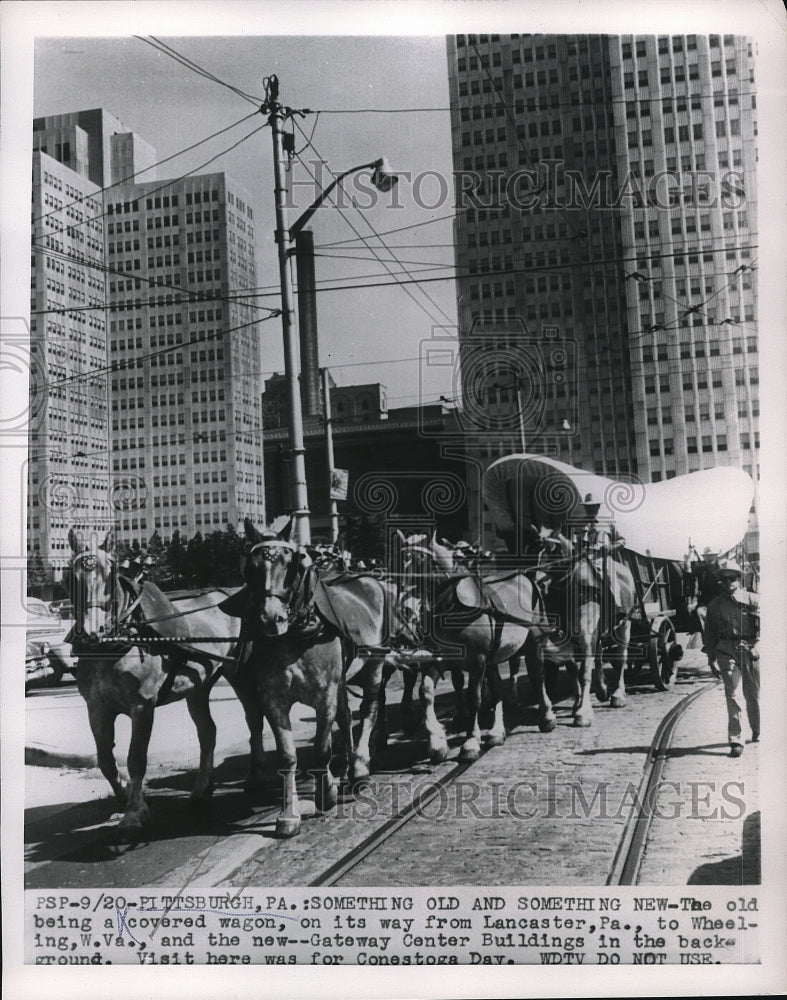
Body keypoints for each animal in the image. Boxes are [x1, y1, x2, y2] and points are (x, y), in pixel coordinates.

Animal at [67, 528, 254, 840]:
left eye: (110, 574)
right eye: (71, 574)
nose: (93, 631)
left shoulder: (142, 706)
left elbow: (135, 759)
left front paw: (134, 813)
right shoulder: (96, 708)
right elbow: (105, 760)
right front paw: (124, 793)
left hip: (240, 673)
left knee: (258, 717)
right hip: (199, 686)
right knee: (208, 732)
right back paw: (202, 789)